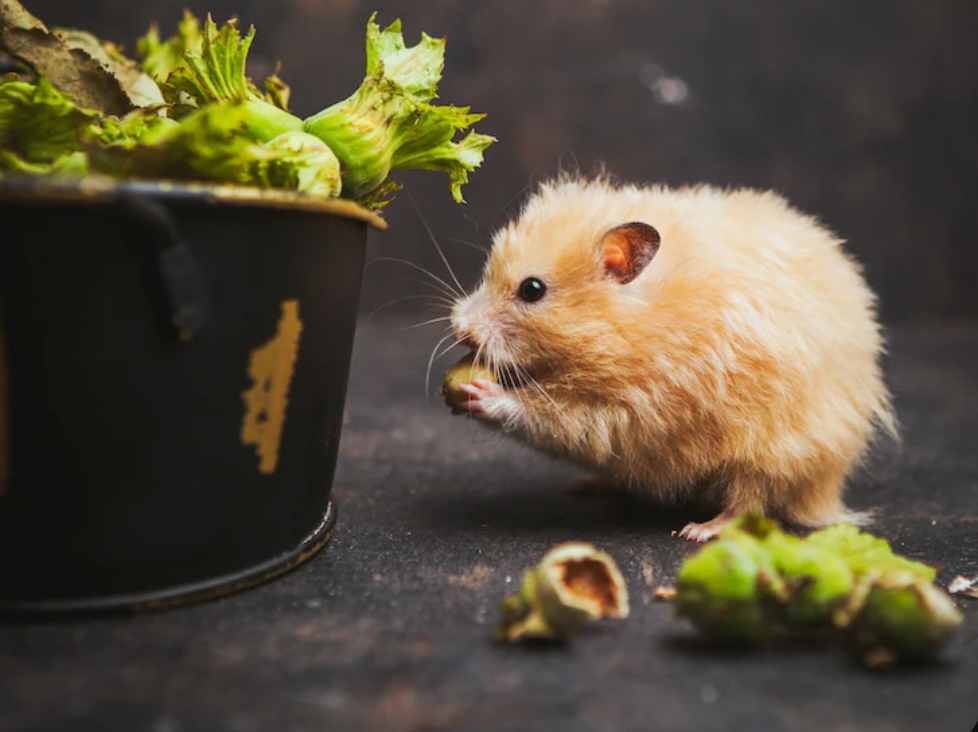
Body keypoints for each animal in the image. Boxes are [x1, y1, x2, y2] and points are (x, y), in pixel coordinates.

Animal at [448, 175, 896, 541]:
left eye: (532, 289)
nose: (458, 327)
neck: (634, 324)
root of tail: (829, 492)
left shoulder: (638, 408)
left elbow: (554, 419)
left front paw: (481, 394)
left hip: (777, 447)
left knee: (752, 498)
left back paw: (700, 530)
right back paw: (587, 485)